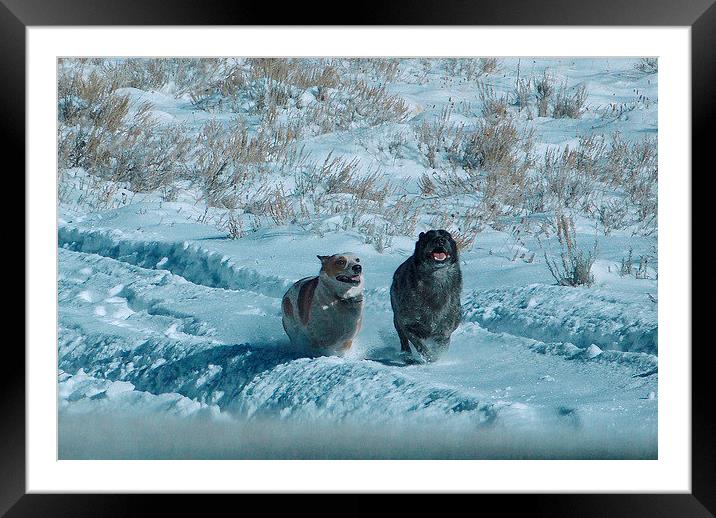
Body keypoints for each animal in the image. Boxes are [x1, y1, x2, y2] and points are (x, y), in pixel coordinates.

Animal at [388, 230, 462, 364]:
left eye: (447, 236)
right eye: (429, 236)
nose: (440, 240)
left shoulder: (444, 331)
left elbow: (440, 348)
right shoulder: (408, 325)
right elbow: (420, 345)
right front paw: (429, 357)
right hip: (397, 320)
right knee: (403, 340)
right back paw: (407, 356)